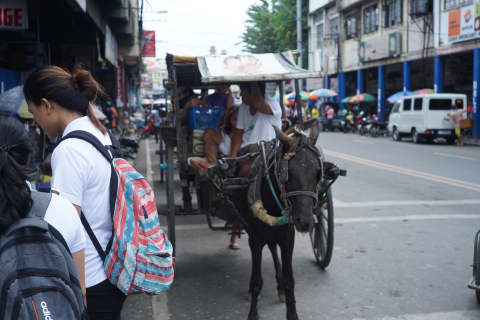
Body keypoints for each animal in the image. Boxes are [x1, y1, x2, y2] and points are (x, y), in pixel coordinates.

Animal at [229, 119, 330, 320]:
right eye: (287, 173)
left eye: (318, 173)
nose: (305, 221)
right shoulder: (255, 239)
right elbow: (257, 281)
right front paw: (253, 313)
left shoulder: (287, 236)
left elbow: (290, 279)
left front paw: (291, 309)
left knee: (272, 246)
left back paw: (280, 286)